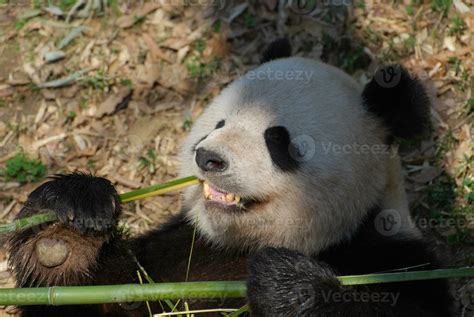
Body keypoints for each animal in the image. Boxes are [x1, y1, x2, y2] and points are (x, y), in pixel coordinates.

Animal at [7, 40, 452, 316]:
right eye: (219, 123)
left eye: (278, 141)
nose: (209, 158)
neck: (238, 248)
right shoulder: (175, 255)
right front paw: (65, 230)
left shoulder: (391, 257)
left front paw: (286, 285)